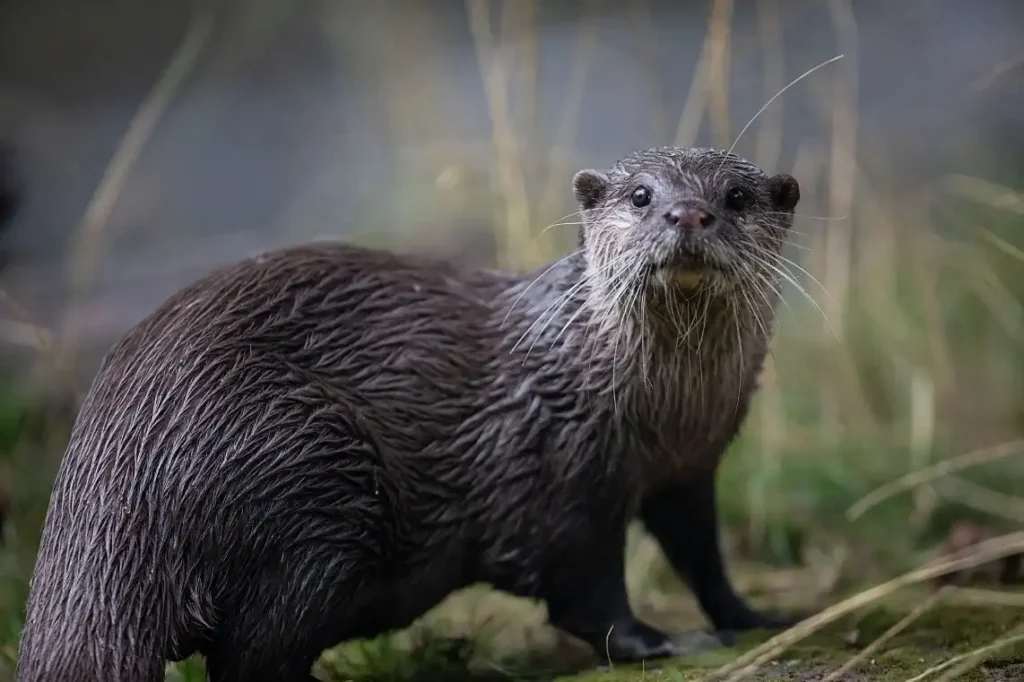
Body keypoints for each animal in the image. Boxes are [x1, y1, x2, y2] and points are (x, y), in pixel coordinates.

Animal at [14, 144, 798, 679]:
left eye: (736, 195)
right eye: (640, 194)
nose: (686, 213)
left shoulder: (690, 467)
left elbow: (702, 556)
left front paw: (752, 616)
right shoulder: (562, 472)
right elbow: (587, 594)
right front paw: (659, 640)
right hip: (307, 474)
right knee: (255, 653)